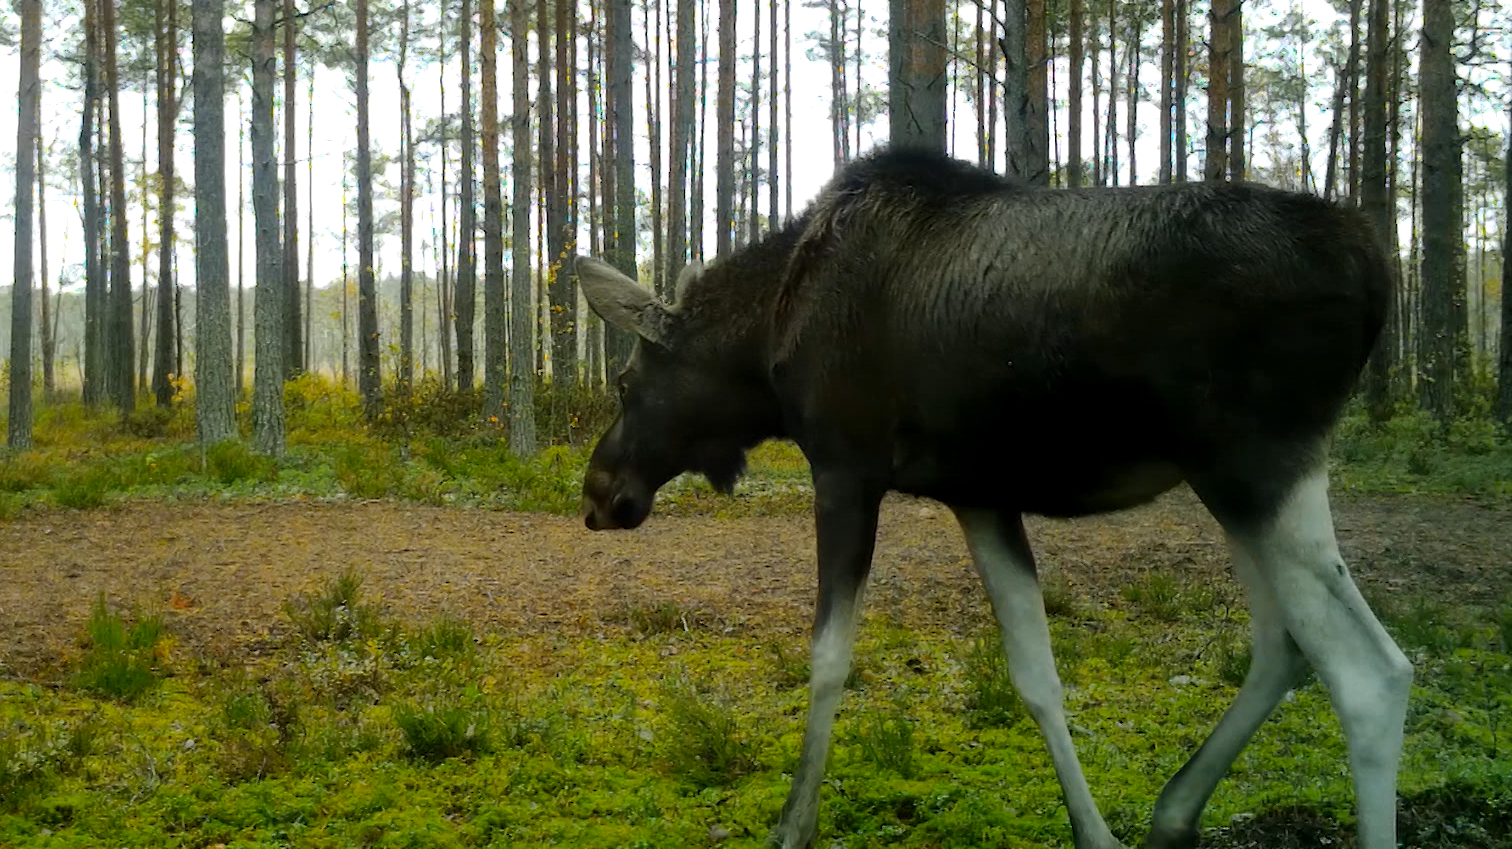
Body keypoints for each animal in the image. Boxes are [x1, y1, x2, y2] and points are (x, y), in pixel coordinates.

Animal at [571, 147, 1409, 845]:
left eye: (626, 381)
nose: (598, 492)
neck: (769, 337)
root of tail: (1377, 267)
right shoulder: (978, 495)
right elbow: (1035, 673)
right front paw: (1095, 831)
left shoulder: (845, 467)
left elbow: (829, 657)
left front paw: (791, 824)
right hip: (1230, 484)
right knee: (1282, 647)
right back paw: (1172, 811)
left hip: (1258, 461)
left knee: (1372, 673)